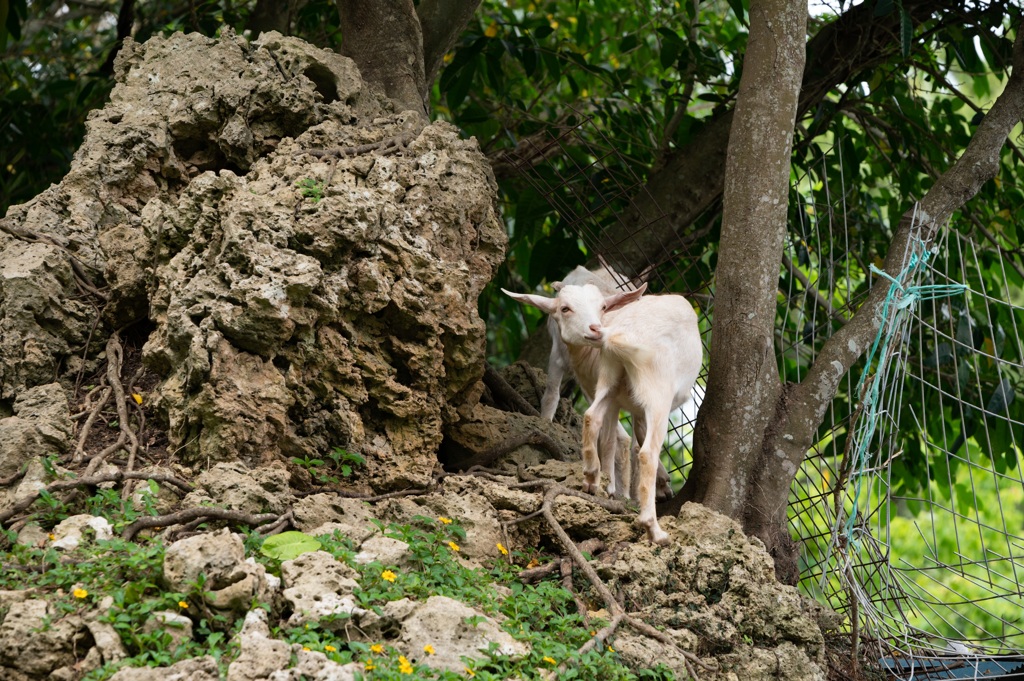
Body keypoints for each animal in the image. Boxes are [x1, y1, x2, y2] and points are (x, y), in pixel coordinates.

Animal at [507, 280, 700, 540]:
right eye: (565, 308)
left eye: (603, 306)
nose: (594, 329)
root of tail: (618, 335)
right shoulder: (637, 404)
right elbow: (627, 441)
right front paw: (631, 489)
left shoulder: (618, 399)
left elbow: (620, 438)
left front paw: (619, 487)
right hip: (657, 389)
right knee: (647, 451)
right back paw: (653, 528)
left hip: (610, 380)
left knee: (591, 417)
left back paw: (591, 479)